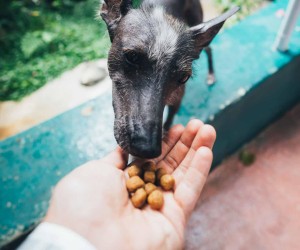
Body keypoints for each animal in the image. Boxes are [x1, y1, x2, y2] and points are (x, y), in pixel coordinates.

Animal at [101, 0, 239, 158]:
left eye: (184, 77)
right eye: (132, 56)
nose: (147, 149)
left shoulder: (178, 99)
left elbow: (168, 122)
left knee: (209, 50)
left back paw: (211, 75)